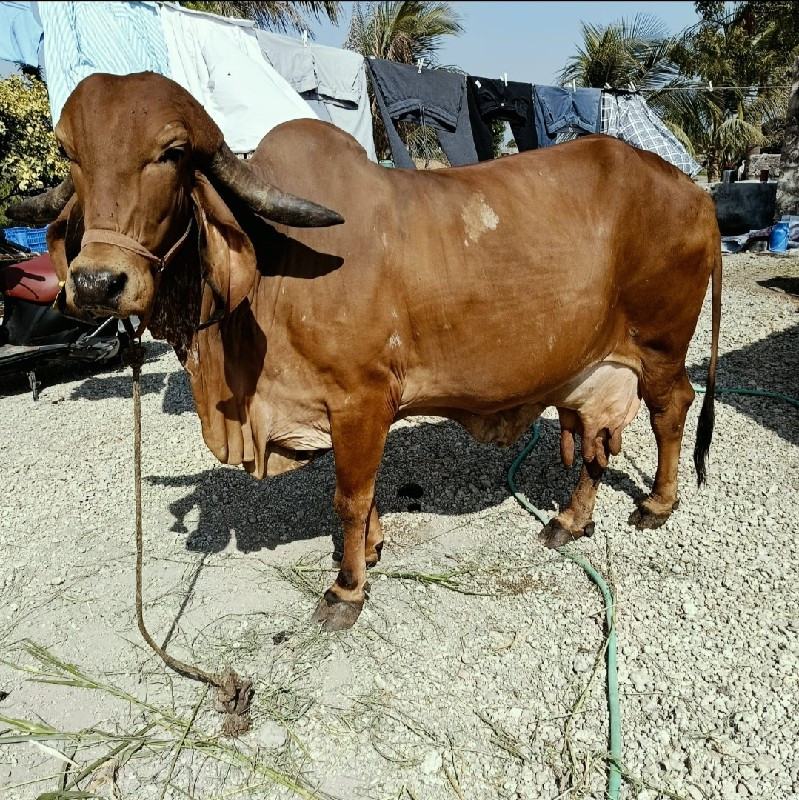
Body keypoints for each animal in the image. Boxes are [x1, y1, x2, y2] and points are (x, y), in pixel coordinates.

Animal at [10, 72, 724, 628]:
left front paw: (347, 588)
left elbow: (349, 498)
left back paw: (658, 503)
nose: (97, 282)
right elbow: (366, 493)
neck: (273, 267)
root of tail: (693, 190)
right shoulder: (343, 409)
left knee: (672, 409)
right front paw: (372, 550)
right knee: (596, 441)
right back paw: (570, 521)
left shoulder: (361, 399)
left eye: (173, 151)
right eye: (68, 152)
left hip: (660, 348)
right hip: (589, 367)